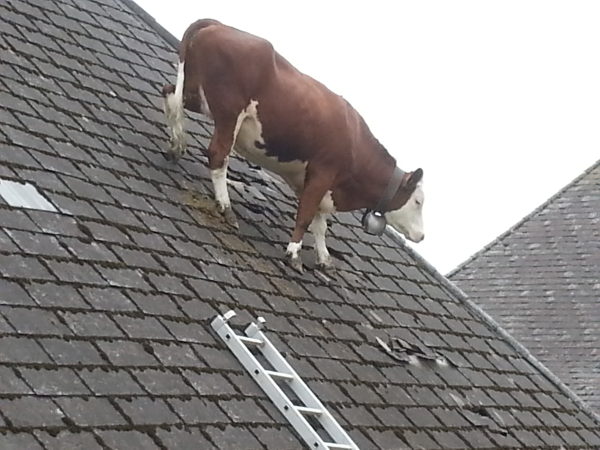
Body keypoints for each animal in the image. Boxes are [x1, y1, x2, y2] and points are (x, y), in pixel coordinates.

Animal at [162, 20, 424, 270]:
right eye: (418, 201)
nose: (421, 236)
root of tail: (216, 24)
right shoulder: (323, 172)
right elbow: (306, 217)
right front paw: (294, 254)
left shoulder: (317, 183)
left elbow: (319, 223)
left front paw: (324, 259)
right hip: (229, 112)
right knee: (218, 155)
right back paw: (226, 207)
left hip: (196, 93)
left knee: (170, 97)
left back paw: (176, 145)